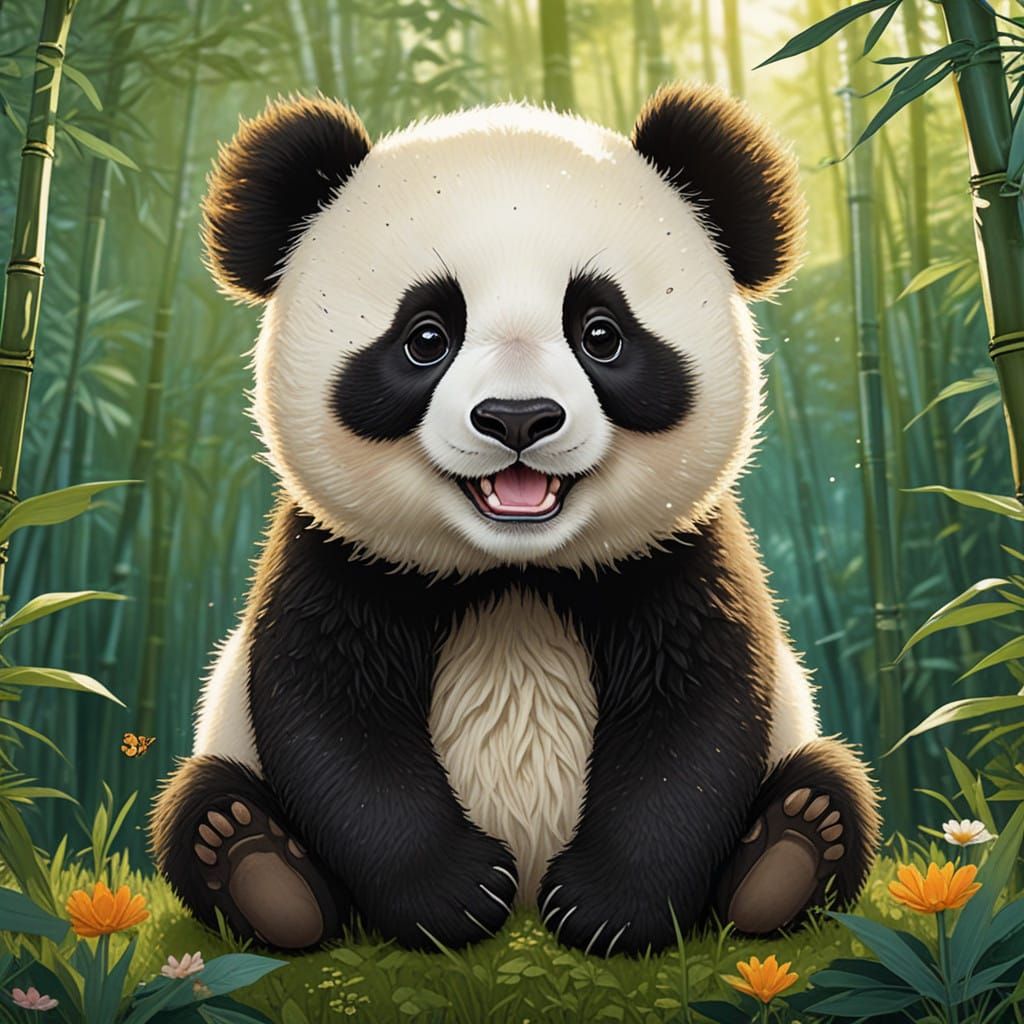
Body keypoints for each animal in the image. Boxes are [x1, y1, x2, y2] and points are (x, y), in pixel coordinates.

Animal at [151, 84, 881, 956]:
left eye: (600, 332)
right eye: (426, 337)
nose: (519, 418)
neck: (515, 571)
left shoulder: (679, 553)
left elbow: (698, 717)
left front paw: (606, 908)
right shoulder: (337, 553)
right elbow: (329, 715)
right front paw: (455, 895)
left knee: (828, 780)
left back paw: (792, 851)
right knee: (203, 799)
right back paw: (256, 866)